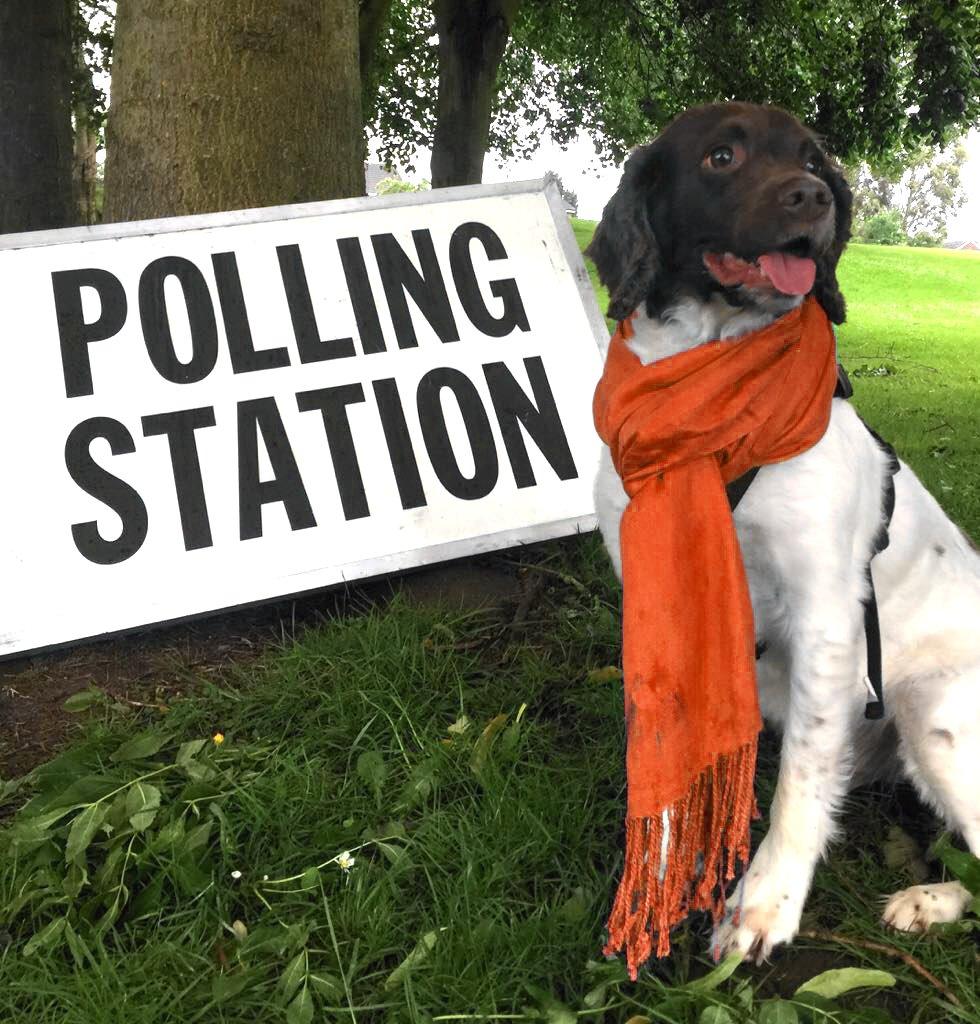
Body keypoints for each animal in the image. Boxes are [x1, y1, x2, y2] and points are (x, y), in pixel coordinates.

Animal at [589, 103, 978, 958]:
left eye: (814, 159)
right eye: (721, 156)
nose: (816, 198)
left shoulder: (828, 617)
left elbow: (800, 779)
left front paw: (764, 902)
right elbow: (666, 754)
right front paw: (660, 872)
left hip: (931, 708)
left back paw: (928, 901)